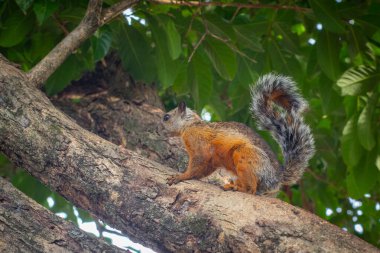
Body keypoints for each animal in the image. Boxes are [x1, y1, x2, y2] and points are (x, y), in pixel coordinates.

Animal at [163, 73, 314, 196]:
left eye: (166, 117)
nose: (161, 128)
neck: (190, 125)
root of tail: (277, 178)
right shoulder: (210, 160)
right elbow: (203, 170)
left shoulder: (198, 141)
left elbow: (198, 161)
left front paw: (181, 176)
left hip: (245, 155)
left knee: (251, 189)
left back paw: (237, 188)